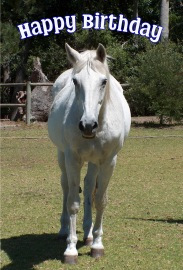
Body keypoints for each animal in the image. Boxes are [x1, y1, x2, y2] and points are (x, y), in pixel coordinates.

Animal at [48, 43, 131, 264]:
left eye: (103, 81)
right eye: (75, 82)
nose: (87, 125)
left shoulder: (109, 161)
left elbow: (100, 200)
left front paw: (97, 245)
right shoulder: (72, 159)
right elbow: (73, 202)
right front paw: (70, 249)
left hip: (94, 162)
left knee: (87, 186)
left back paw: (88, 234)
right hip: (62, 156)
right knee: (66, 186)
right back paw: (64, 229)